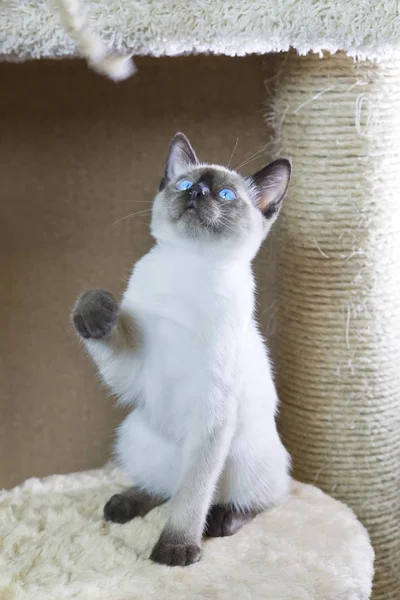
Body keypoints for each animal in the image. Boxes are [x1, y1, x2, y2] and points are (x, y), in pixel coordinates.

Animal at [72, 132, 290, 568]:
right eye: (186, 184)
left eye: (226, 194)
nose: (199, 192)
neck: (188, 269)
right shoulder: (133, 369)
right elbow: (99, 314)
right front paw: (95, 312)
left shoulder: (211, 412)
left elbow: (193, 497)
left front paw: (174, 551)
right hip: (134, 434)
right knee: (166, 487)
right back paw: (123, 504)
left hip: (243, 457)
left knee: (248, 500)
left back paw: (221, 521)